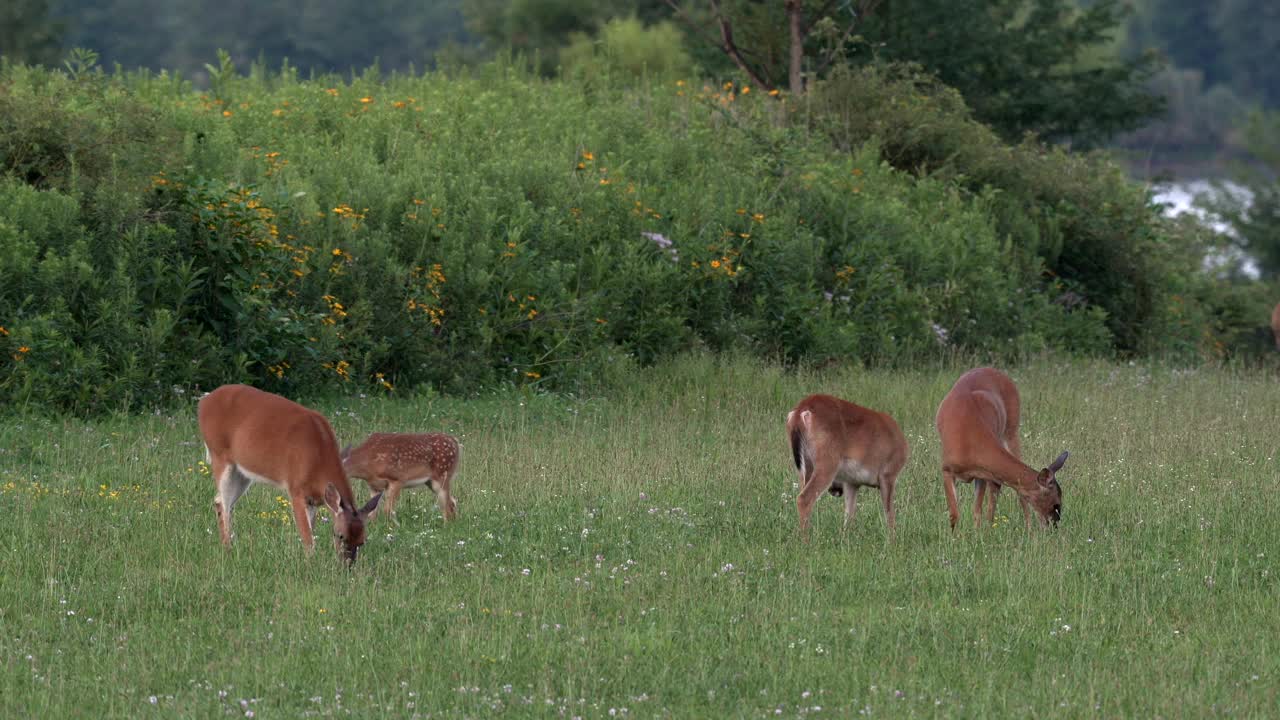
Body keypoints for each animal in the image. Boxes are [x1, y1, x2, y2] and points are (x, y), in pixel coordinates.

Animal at [197, 384, 381, 563]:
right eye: (340, 535)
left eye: (362, 541)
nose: (347, 565)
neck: (318, 459)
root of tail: (203, 402)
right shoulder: (296, 489)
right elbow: (307, 538)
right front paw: (311, 564)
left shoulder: (312, 500)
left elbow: (310, 531)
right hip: (219, 454)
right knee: (223, 503)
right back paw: (228, 550)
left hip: (242, 472)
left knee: (221, 501)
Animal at [778, 392, 911, 532]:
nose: (835, 490)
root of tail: (801, 409)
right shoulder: (888, 474)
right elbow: (890, 516)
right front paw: (893, 538)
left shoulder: (851, 482)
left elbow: (848, 518)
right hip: (828, 462)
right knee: (804, 499)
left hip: (804, 467)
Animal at [931, 366, 1070, 530]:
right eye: (1056, 504)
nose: (1054, 526)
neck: (970, 442)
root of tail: (993, 369)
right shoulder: (947, 469)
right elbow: (954, 515)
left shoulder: (982, 474)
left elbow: (977, 510)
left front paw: (978, 534)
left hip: (1011, 430)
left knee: (1007, 493)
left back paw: (1028, 530)